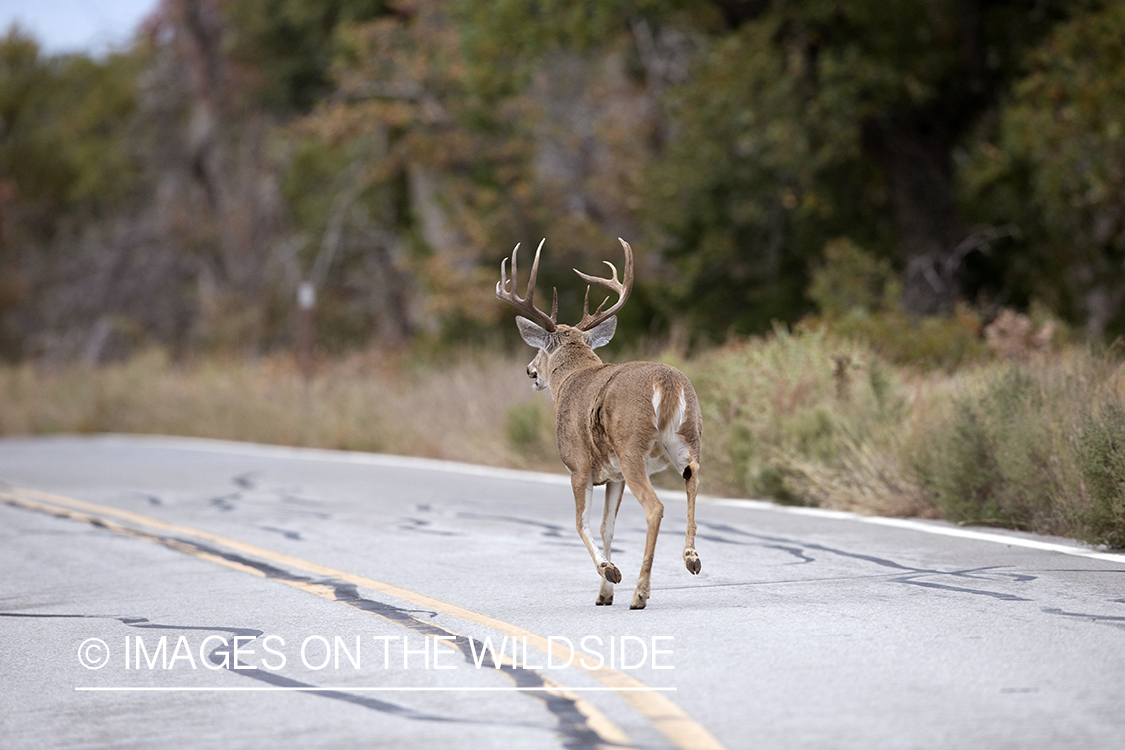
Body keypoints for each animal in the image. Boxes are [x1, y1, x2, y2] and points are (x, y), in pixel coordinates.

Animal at [495, 240, 697, 611]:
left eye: (540, 351)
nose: (530, 371)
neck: (572, 379)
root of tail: (667, 383)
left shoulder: (578, 465)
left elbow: (580, 522)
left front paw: (611, 572)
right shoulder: (613, 475)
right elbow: (607, 526)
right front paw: (604, 593)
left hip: (632, 448)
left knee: (655, 508)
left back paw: (640, 593)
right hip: (689, 439)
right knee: (692, 480)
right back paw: (692, 558)